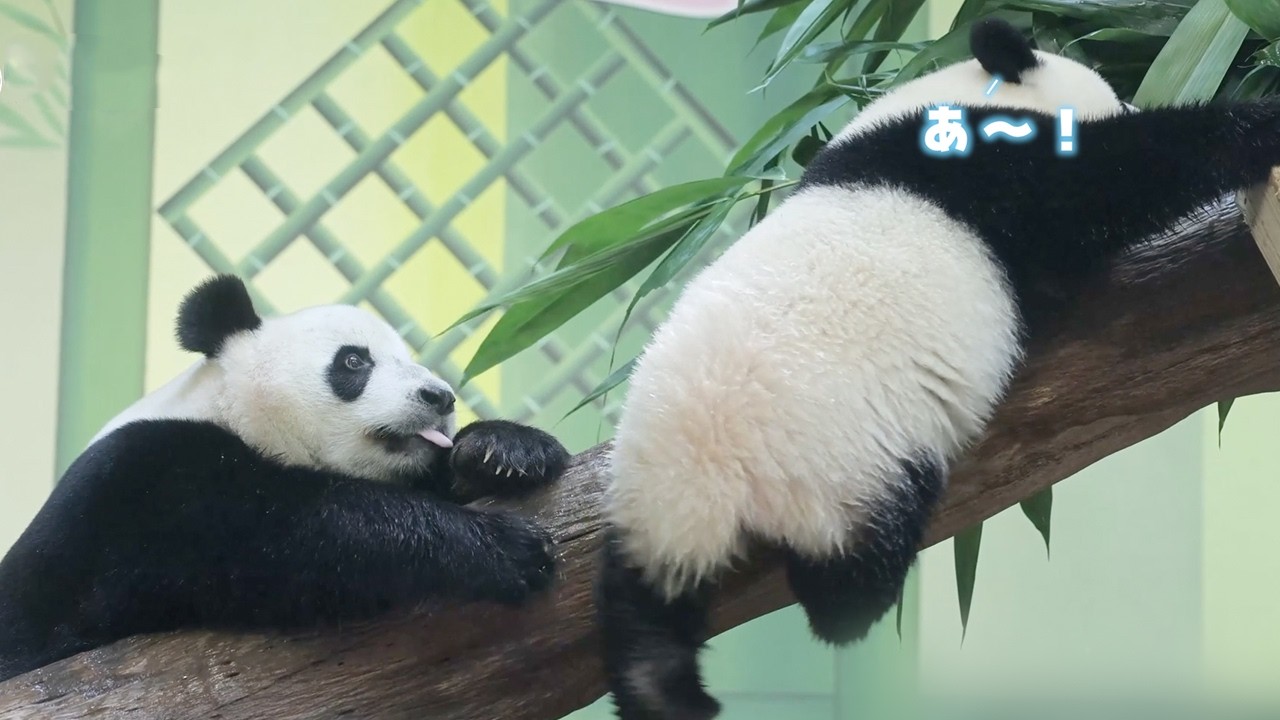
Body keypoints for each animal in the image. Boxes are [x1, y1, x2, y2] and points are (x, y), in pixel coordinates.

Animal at [0, 274, 570, 682]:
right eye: (354, 360)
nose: (440, 397)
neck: (232, 410)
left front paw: (504, 451)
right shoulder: (140, 488)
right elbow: (283, 537)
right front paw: (501, 548)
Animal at [597, 17, 1280, 720]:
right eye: (1118, 97)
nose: (1132, 99)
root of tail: (708, 488)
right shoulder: (1000, 176)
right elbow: (1117, 178)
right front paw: (1258, 123)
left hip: (642, 505)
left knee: (641, 618)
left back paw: (665, 689)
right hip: (852, 474)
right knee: (846, 588)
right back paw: (849, 599)